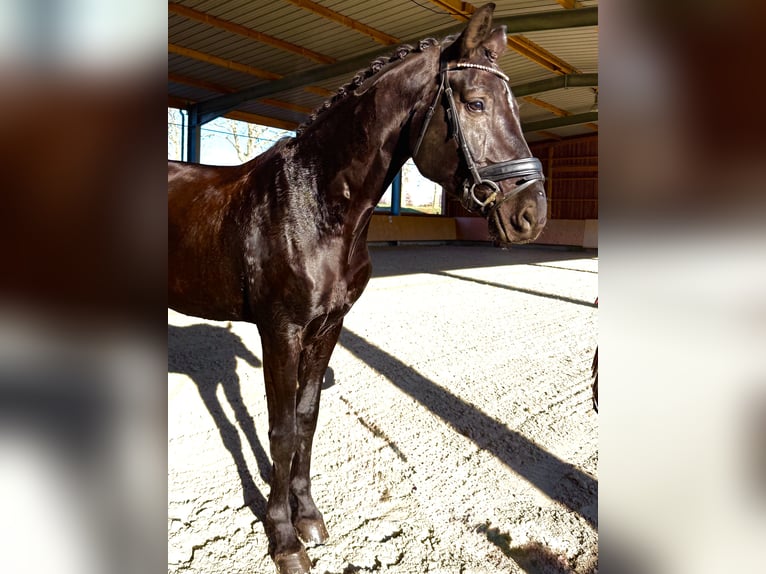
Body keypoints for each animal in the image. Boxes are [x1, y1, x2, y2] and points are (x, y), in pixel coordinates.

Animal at [168, 4, 546, 572]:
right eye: (477, 103)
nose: (531, 214)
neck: (311, 204)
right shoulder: (281, 330)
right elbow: (281, 431)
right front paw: (284, 540)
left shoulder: (329, 327)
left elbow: (306, 420)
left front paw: (308, 518)